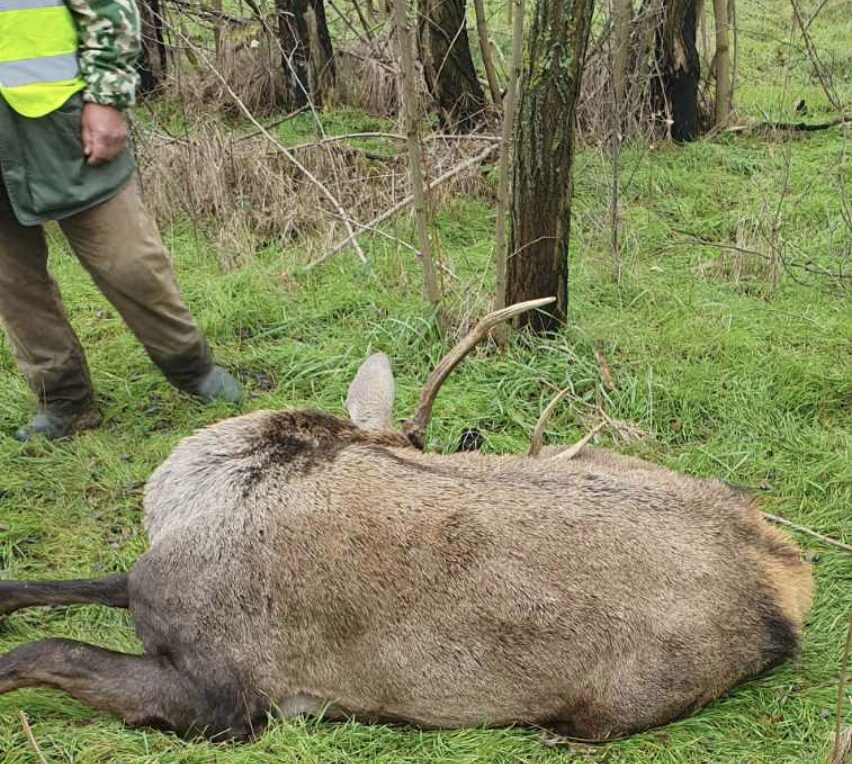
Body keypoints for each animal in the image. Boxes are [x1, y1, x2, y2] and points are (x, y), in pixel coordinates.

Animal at [0, 302, 812, 744]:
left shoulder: (227, 697)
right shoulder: (141, 584)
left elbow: (40, 651)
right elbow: (51, 588)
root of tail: (787, 579)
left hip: (614, 701)